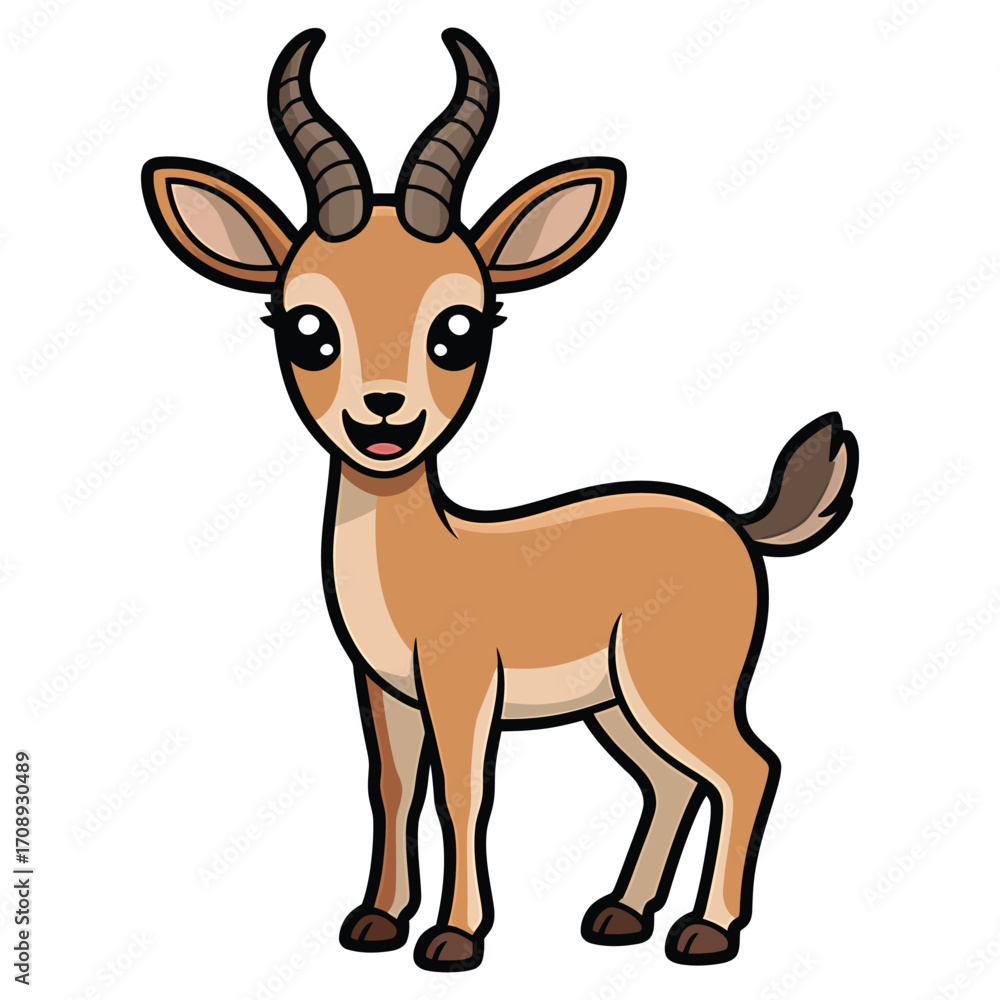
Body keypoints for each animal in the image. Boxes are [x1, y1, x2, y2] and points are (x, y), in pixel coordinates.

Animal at [142, 27, 859, 972]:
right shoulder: (386, 691)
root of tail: (738, 523)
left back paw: (705, 932)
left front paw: (454, 937)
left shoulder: (462, 685)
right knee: (671, 781)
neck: (426, 561)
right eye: (304, 326)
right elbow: (392, 790)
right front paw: (376, 922)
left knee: (748, 767)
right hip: (617, 707)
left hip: (677, 689)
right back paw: (621, 916)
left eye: (462, 327)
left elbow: (463, 793)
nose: (382, 417)